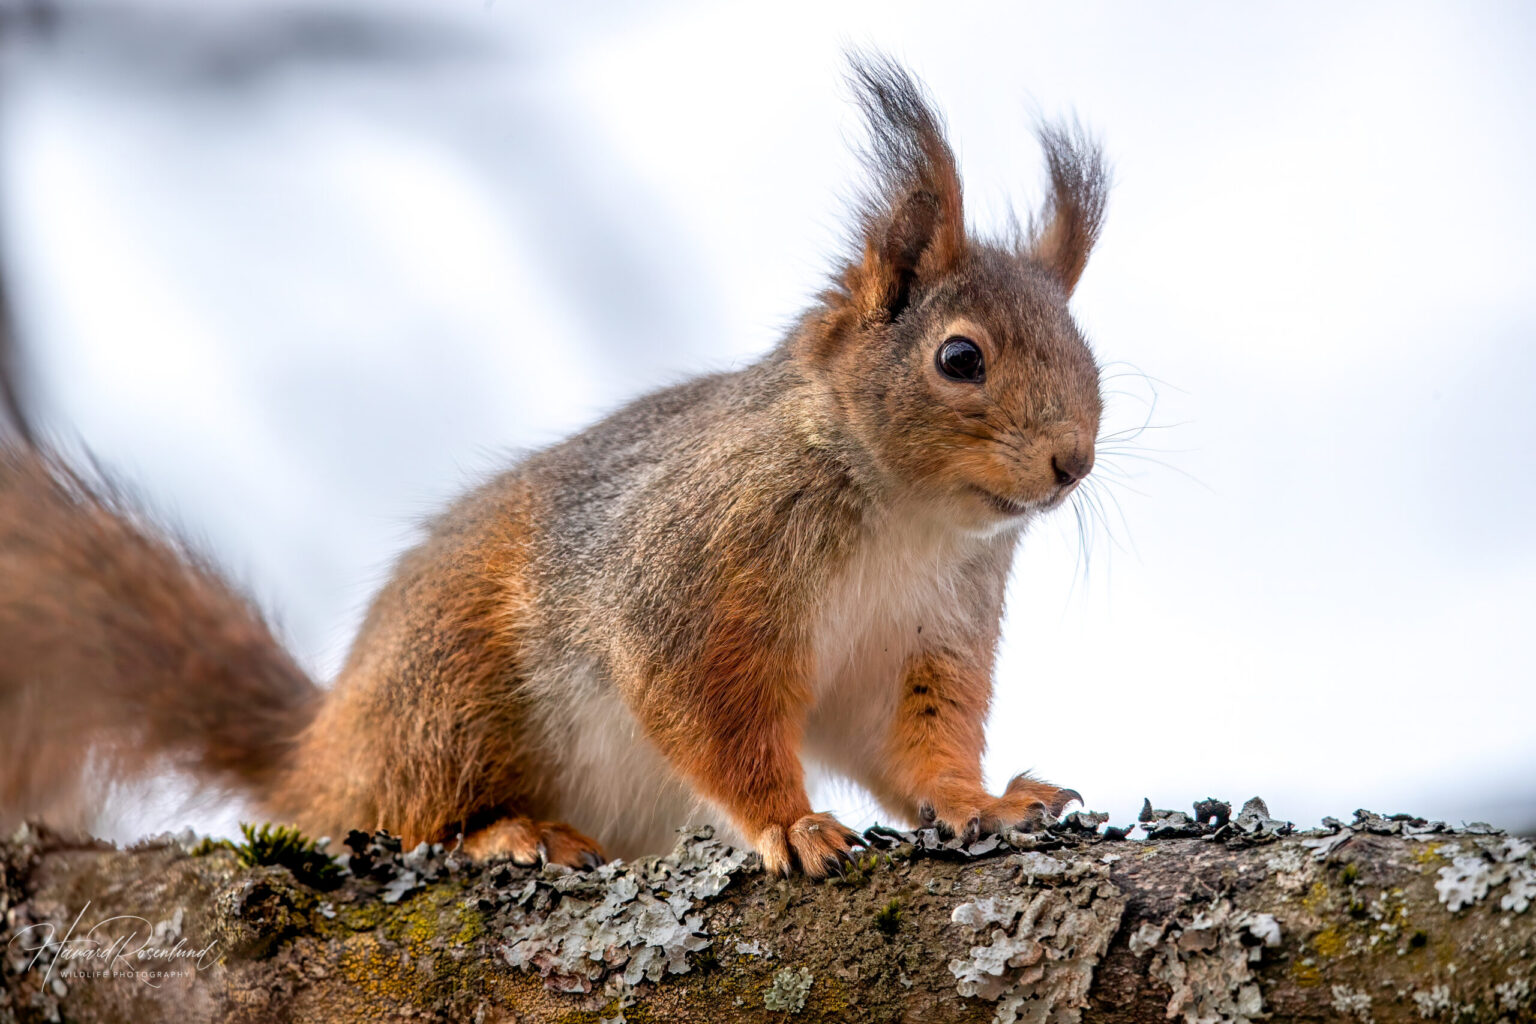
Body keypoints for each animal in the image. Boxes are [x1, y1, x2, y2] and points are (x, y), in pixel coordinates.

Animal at [0, 55, 1107, 878]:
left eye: (1087, 353)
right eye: (959, 359)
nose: (1073, 462)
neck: (905, 516)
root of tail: (317, 754)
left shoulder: (927, 639)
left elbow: (912, 744)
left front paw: (984, 801)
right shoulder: (692, 586)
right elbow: (713, 718)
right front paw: (788, 824)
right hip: (448, 696)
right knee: (398, 816)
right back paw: (506, 830)